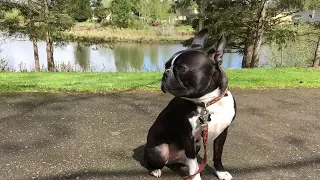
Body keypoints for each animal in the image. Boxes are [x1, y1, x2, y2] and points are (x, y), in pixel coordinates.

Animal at [144, 28, 236, 179]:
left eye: (181, 69)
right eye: (166, 66)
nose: (165, 73)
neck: (207, 103)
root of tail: (171, 160)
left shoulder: (222, 133)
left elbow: (218, 155)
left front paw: (221, 172)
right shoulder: (188, 135)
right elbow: (193, 162)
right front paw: (195, 176)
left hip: (197, 145)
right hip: (159, 150)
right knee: (153, 160)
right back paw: (155, 170)